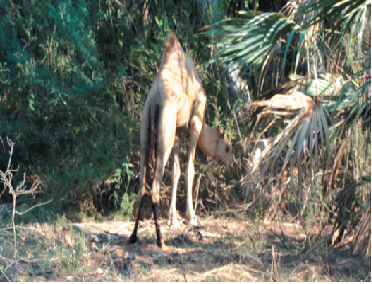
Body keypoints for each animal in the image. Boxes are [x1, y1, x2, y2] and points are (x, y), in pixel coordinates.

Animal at [128, 32, 232, 247]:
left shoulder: (177, 129)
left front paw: (173, 218)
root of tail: (155, 99)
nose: (231, 163)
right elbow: (189, 169)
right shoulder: (195, 120)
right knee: (155, 187)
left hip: (146, 131)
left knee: (142, 185)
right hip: (164, 136)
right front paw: (191, 217)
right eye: (227, 147)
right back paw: (160, 241)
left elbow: (175, 171)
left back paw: (133, 236)